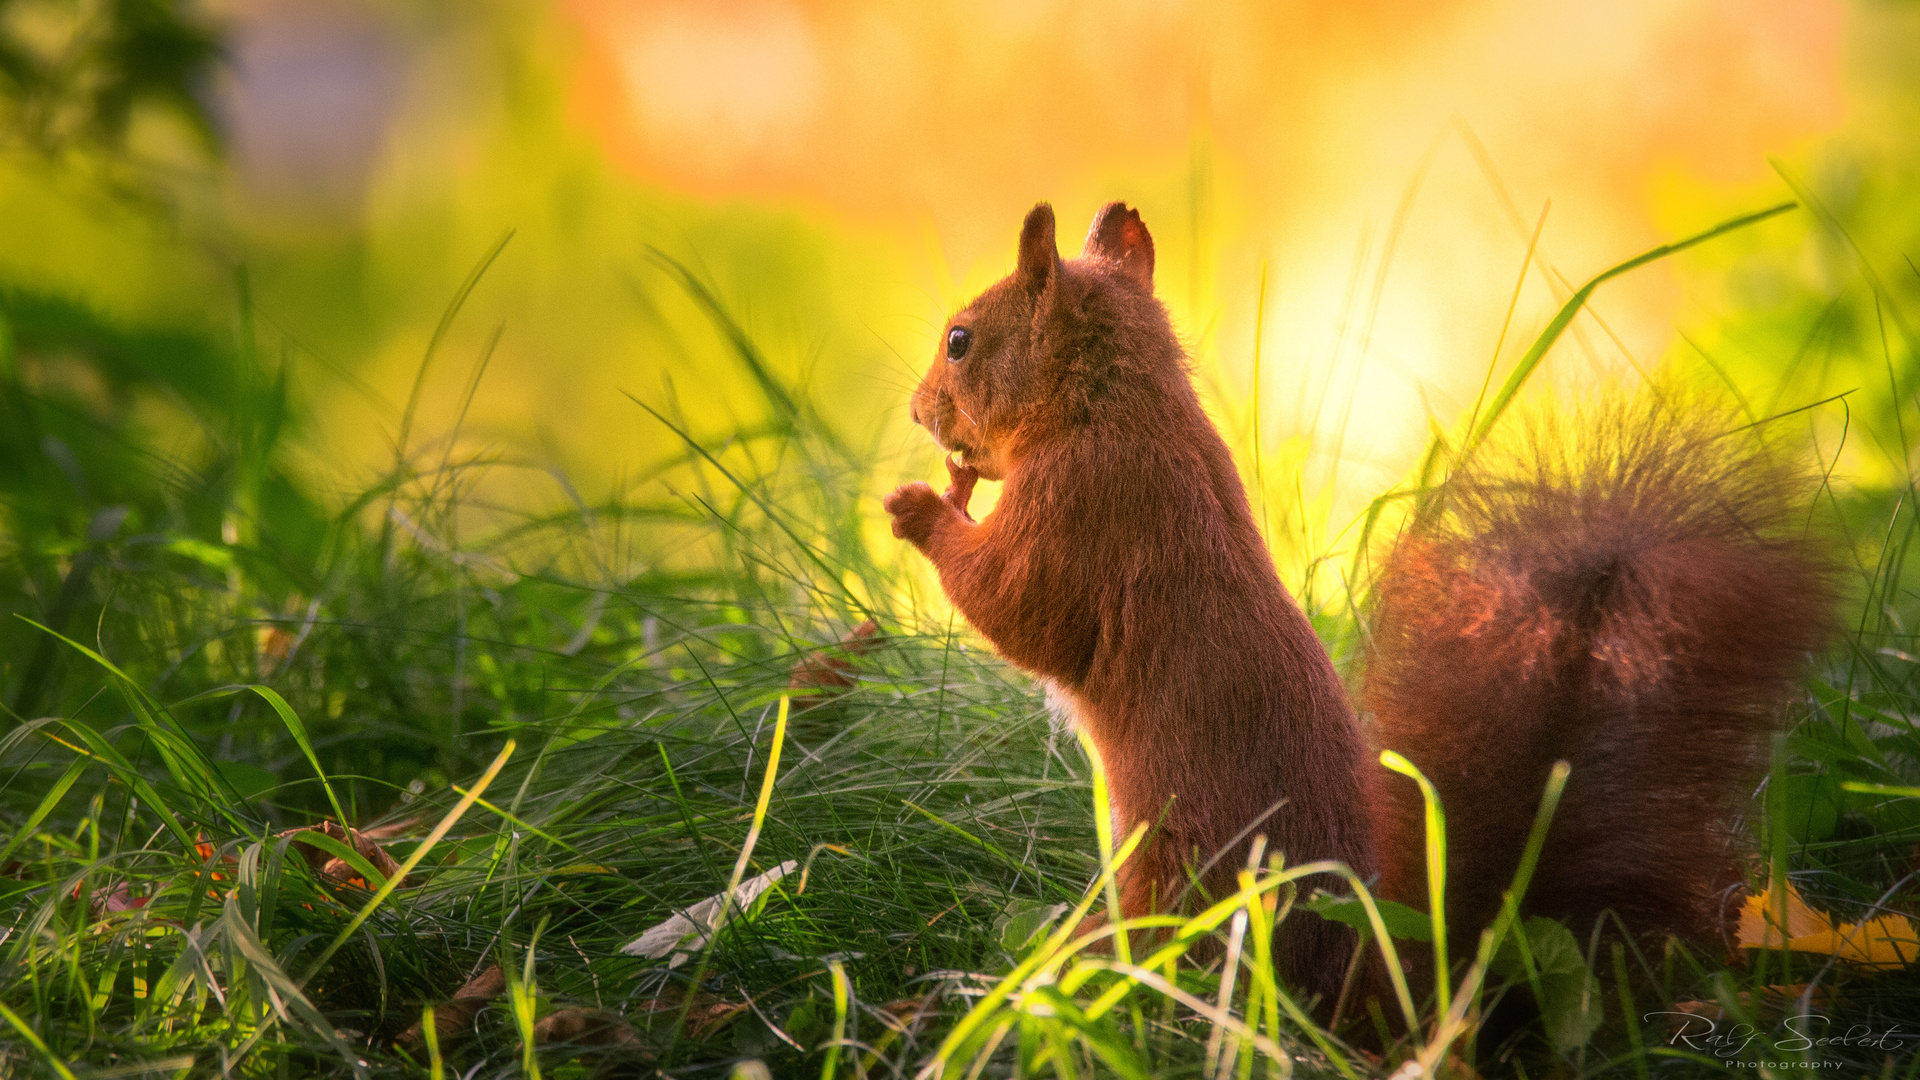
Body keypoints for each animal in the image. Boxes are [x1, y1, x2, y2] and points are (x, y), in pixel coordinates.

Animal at [879, 201, 1827, 1006]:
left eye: (961, 341)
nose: (920, 412)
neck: (1113, 402)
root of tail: (1368, 977)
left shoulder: (1086, 506)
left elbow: (1021, 609)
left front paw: (924, 509)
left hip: (1178, 879)